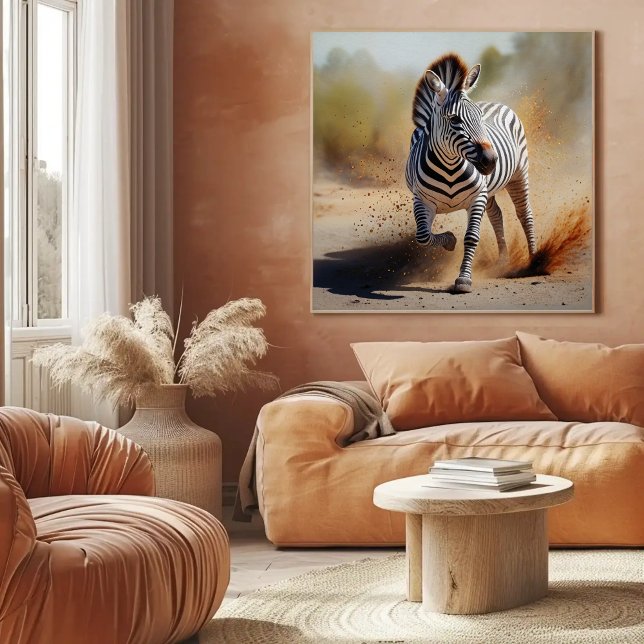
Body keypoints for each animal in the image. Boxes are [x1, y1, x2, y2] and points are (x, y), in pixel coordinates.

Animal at [405, 53, 537, 293]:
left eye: (480, 116)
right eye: (454, 119)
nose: (491, 160)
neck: (449, 168)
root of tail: (495, 102)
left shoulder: (477, 197)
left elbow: (472, 237)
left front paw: (464, 279)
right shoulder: (422, 200)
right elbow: (423, 236)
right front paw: (449, 240)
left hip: (519, 174)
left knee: (525, 214)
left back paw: (535, 259)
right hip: (490, 189)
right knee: (497, 215)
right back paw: (503, 260)